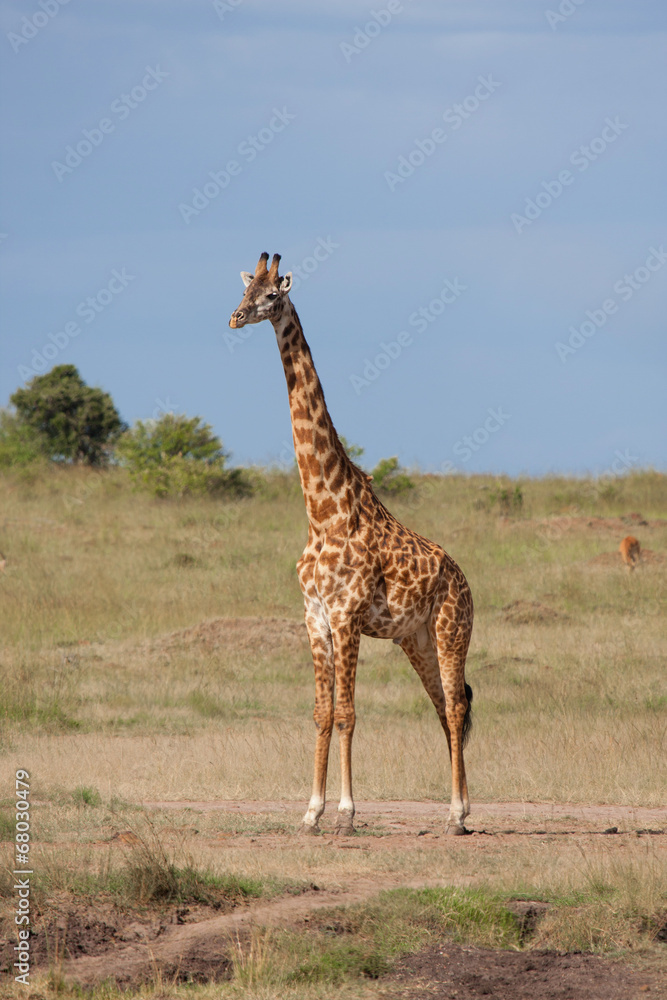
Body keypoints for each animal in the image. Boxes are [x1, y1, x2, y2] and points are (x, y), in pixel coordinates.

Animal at [229, 253, 474, 835]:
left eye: (273, 296)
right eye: (245, 289)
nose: (235, 317)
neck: (324, 512)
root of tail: (466, 582)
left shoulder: (346, 616)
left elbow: (347, 713)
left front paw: (345, 812)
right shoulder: (315, 617)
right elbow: (322, 712)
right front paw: (311, 812)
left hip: (451, 631)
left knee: (457, 707)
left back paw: (459, 815)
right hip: (416, 640)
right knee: (443, 707)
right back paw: (454, 809)